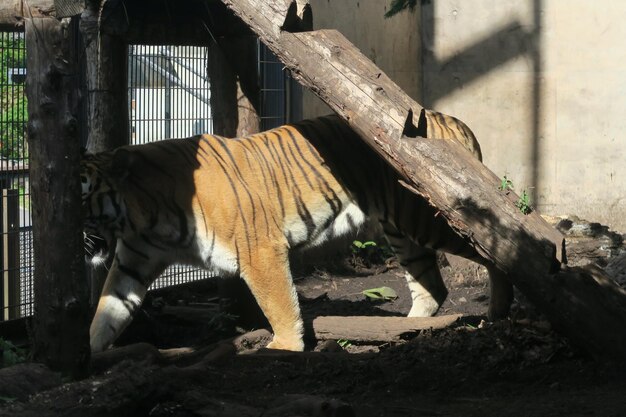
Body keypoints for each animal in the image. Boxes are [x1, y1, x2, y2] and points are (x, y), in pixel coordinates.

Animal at [81, 109, 512, 352]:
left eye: (81, 194)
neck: (141, 216)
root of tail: (451, 120)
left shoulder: (260, 250)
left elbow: (280, 303)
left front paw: (284, 347)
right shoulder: (134, 261)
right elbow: (108, 310)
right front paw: (86, 355)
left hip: (429, 219)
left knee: (493, 246)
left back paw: (498, 309)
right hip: (402, 231)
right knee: (432, 287)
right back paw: (402, 329)